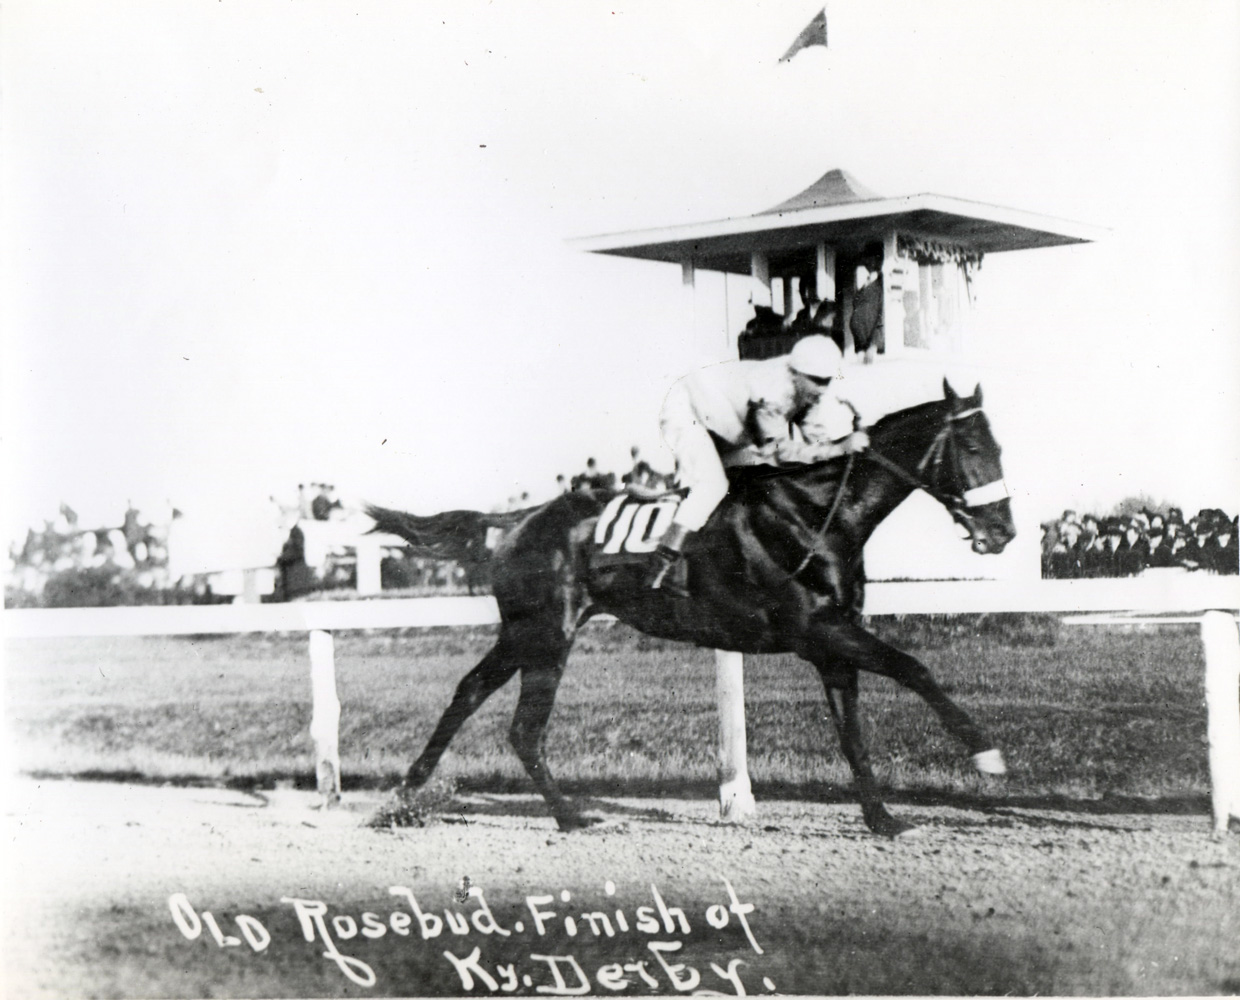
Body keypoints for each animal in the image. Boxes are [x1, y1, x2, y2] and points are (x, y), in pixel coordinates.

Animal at [369, 382, 1016, 838]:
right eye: (974, 446)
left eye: (1000, 446)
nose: (1003, 531)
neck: (816, 513)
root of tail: (518, 518)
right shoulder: (816, 628)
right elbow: (914, 667)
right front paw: (987, 755)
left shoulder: (833, 641)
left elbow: (853, 733)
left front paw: (882, 819)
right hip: (547, 635)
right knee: (524, 729)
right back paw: (570, 815)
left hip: (524, 634)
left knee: (469, 693)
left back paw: (404, 794)